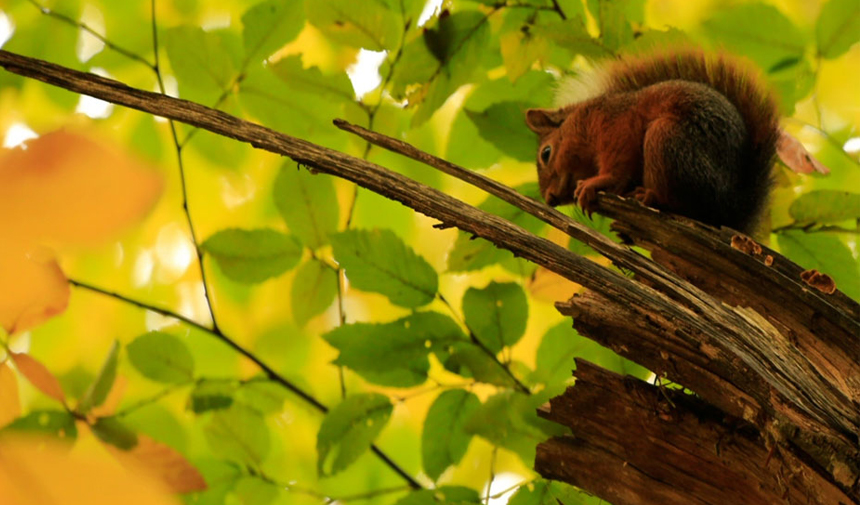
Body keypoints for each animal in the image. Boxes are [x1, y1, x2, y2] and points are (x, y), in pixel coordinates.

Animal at [524, 50, 780, 232]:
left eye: (546, 153)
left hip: (666, 139)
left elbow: (617, 166)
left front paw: (595, 184)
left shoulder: (616, 128)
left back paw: (649, 197)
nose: (550, 199)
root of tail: (732, 208)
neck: (582, 122)